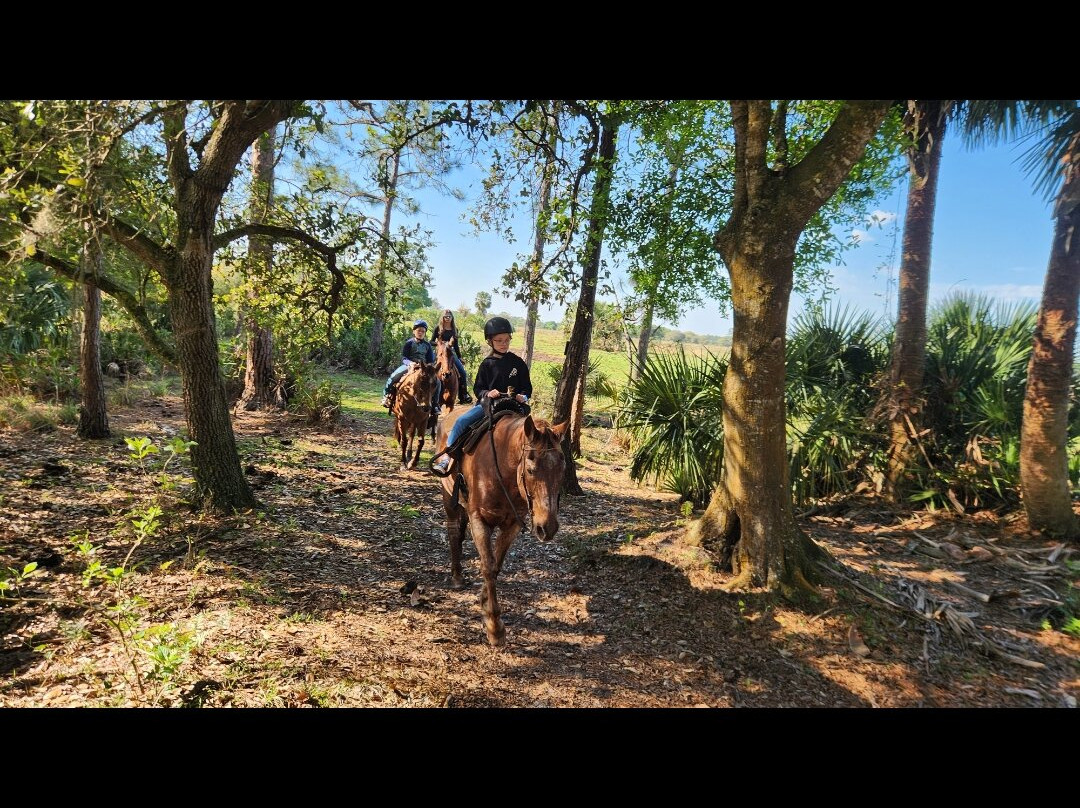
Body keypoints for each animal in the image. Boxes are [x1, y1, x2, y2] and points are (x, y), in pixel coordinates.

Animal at [435, 402, 569, 647]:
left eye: (562, 470)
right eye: (530, 469)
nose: (548, 527)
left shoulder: (512, 524)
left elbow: (496, 565)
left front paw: (485, 603)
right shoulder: (479, 520)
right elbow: (487, 566)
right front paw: (494, 627)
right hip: (449, 495)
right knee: (453, 531)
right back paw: (457, 576)